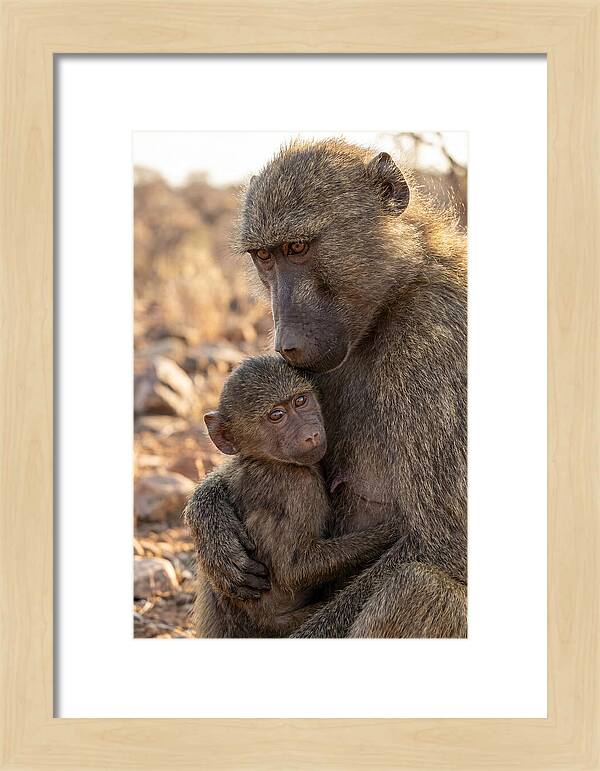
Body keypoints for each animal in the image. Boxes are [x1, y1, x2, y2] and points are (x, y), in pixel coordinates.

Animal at [184, 355, 404, 638]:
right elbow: (294, 569)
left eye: (300, 401)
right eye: (276, 416)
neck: (266, 460)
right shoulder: (298, 486)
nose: (311, 435)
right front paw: (394, 530)